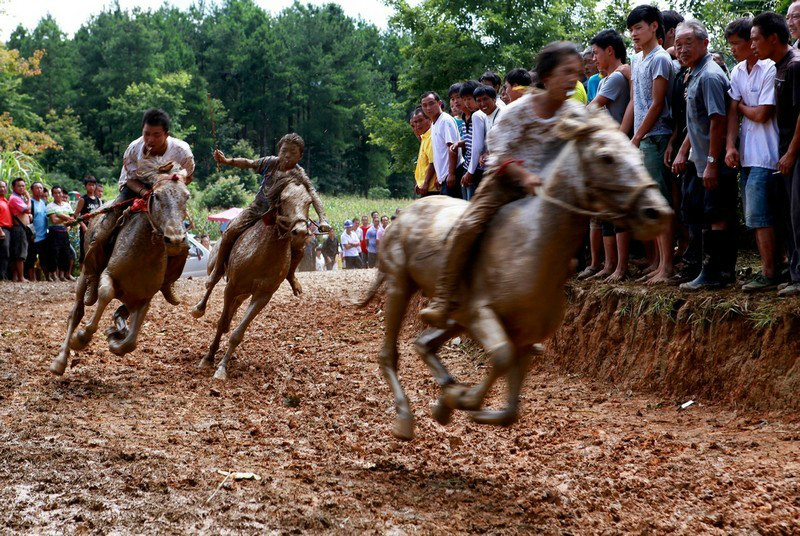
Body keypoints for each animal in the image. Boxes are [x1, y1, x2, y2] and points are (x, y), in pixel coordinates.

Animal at [51, 161, 192, 374]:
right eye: (156, 196)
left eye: (186, 196)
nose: (175, 239)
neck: (141, 255)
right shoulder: (108, 275)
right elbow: (106, 293)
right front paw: (82, 337)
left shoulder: (144, 298)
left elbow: (130, 342)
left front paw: (114, 337)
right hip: (84, 275)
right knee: (76, 312)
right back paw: (60, 360)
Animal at [197, 170, 312, 378]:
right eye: (284, 199)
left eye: (308, 202)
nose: (300, 231)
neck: (264, 253)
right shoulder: (231, 287)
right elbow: (220, 322)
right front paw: (208, 358)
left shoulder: (262, 296)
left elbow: (237, 333)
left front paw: (222, 367)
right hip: (216, 266)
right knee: (211, 283)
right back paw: (199, 308)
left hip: (244, 293)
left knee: (233, 309)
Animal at [360, 108, 672, 440]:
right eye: (606, 157)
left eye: (637, 155)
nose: (657, 213)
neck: (532, 244)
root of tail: (405, 215)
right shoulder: (481, 314)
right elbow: (501, 357)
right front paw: (460, 399)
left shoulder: (524, 335)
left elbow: (510, 409)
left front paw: (451, 402)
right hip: (400, 286)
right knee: (390, 354)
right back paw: (405, 417)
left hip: (453, 316)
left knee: (423, 344)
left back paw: (444, 389)